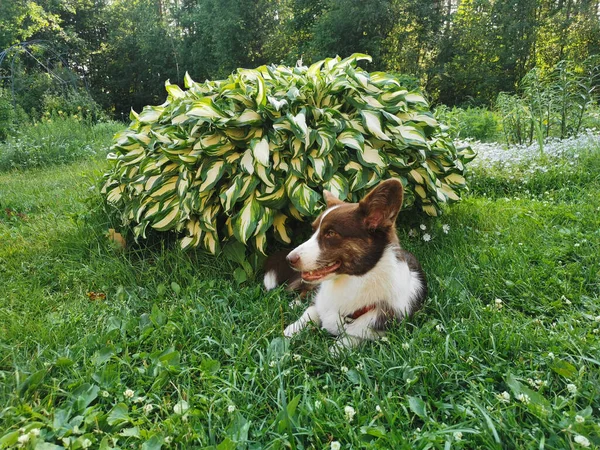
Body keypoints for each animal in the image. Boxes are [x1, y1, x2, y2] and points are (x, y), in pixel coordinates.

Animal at [262, 178, 426, 348]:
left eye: (330, 233)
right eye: (313, 230)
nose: (289, 259)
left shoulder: (368, 333)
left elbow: (342, 345)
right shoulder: (318, 303)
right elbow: (307, 315)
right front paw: (287, 333)